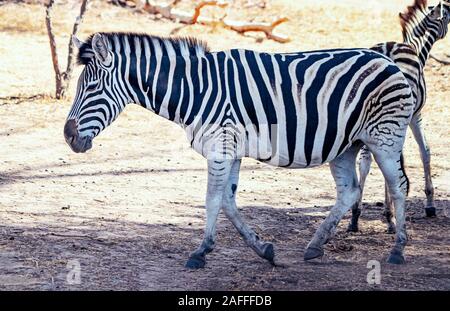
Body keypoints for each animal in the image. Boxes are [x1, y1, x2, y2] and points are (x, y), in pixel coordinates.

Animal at [64, 33, 414, 270]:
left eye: (91, 88)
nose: (68, 136)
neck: (196, 89)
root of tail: (387, 60)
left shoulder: (220, 148)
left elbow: (212, 200)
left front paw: (199, 252)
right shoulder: (229, 150)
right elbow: (228, 202)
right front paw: (263, 249)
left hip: (385, 137)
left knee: (399, 186)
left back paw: (398, 250)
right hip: (346, 145)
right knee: (349, 190)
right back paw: (316, 245)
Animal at [348, 0, 450, 234]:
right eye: (449, 17)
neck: (417, 49)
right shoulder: (415, 115)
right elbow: (425, 151)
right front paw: (429, 205)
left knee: (365, 159)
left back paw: (356, 216)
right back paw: (388, 217)